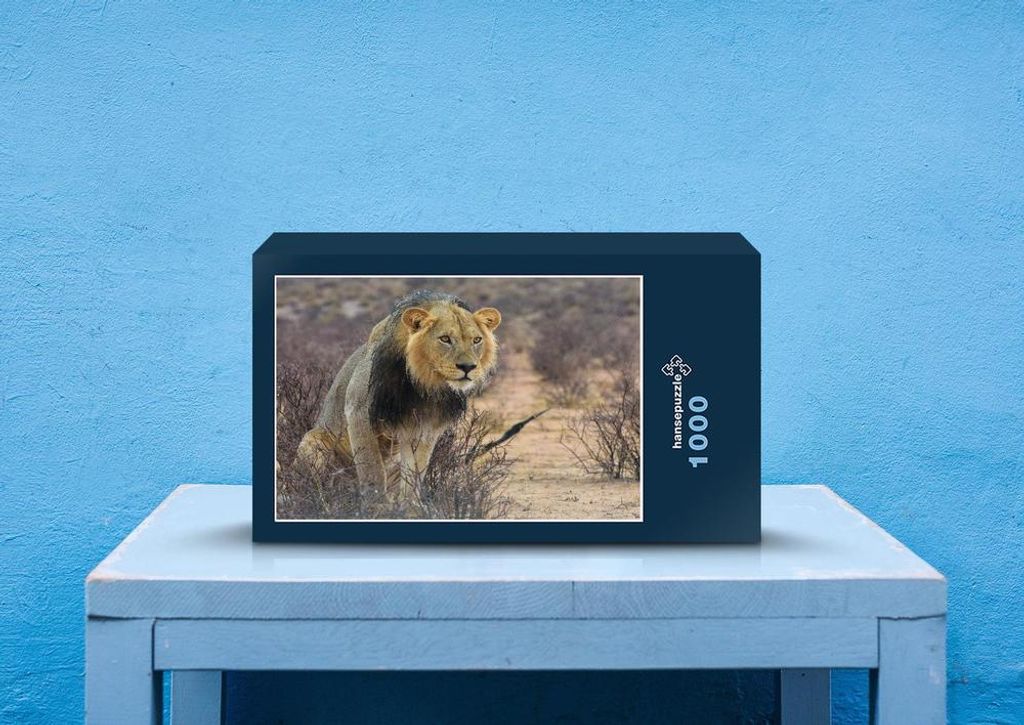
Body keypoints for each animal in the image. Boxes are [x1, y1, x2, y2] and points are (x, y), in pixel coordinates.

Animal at [294, 289, 502, 499]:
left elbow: (414, 474)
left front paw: (411, 506)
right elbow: (372, 471)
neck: (423, 383)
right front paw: (376, 505)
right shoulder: (358, 411)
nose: (468, 367)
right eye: (445, 339)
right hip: (313, 440)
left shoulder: (425, 428)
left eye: (476, 340)